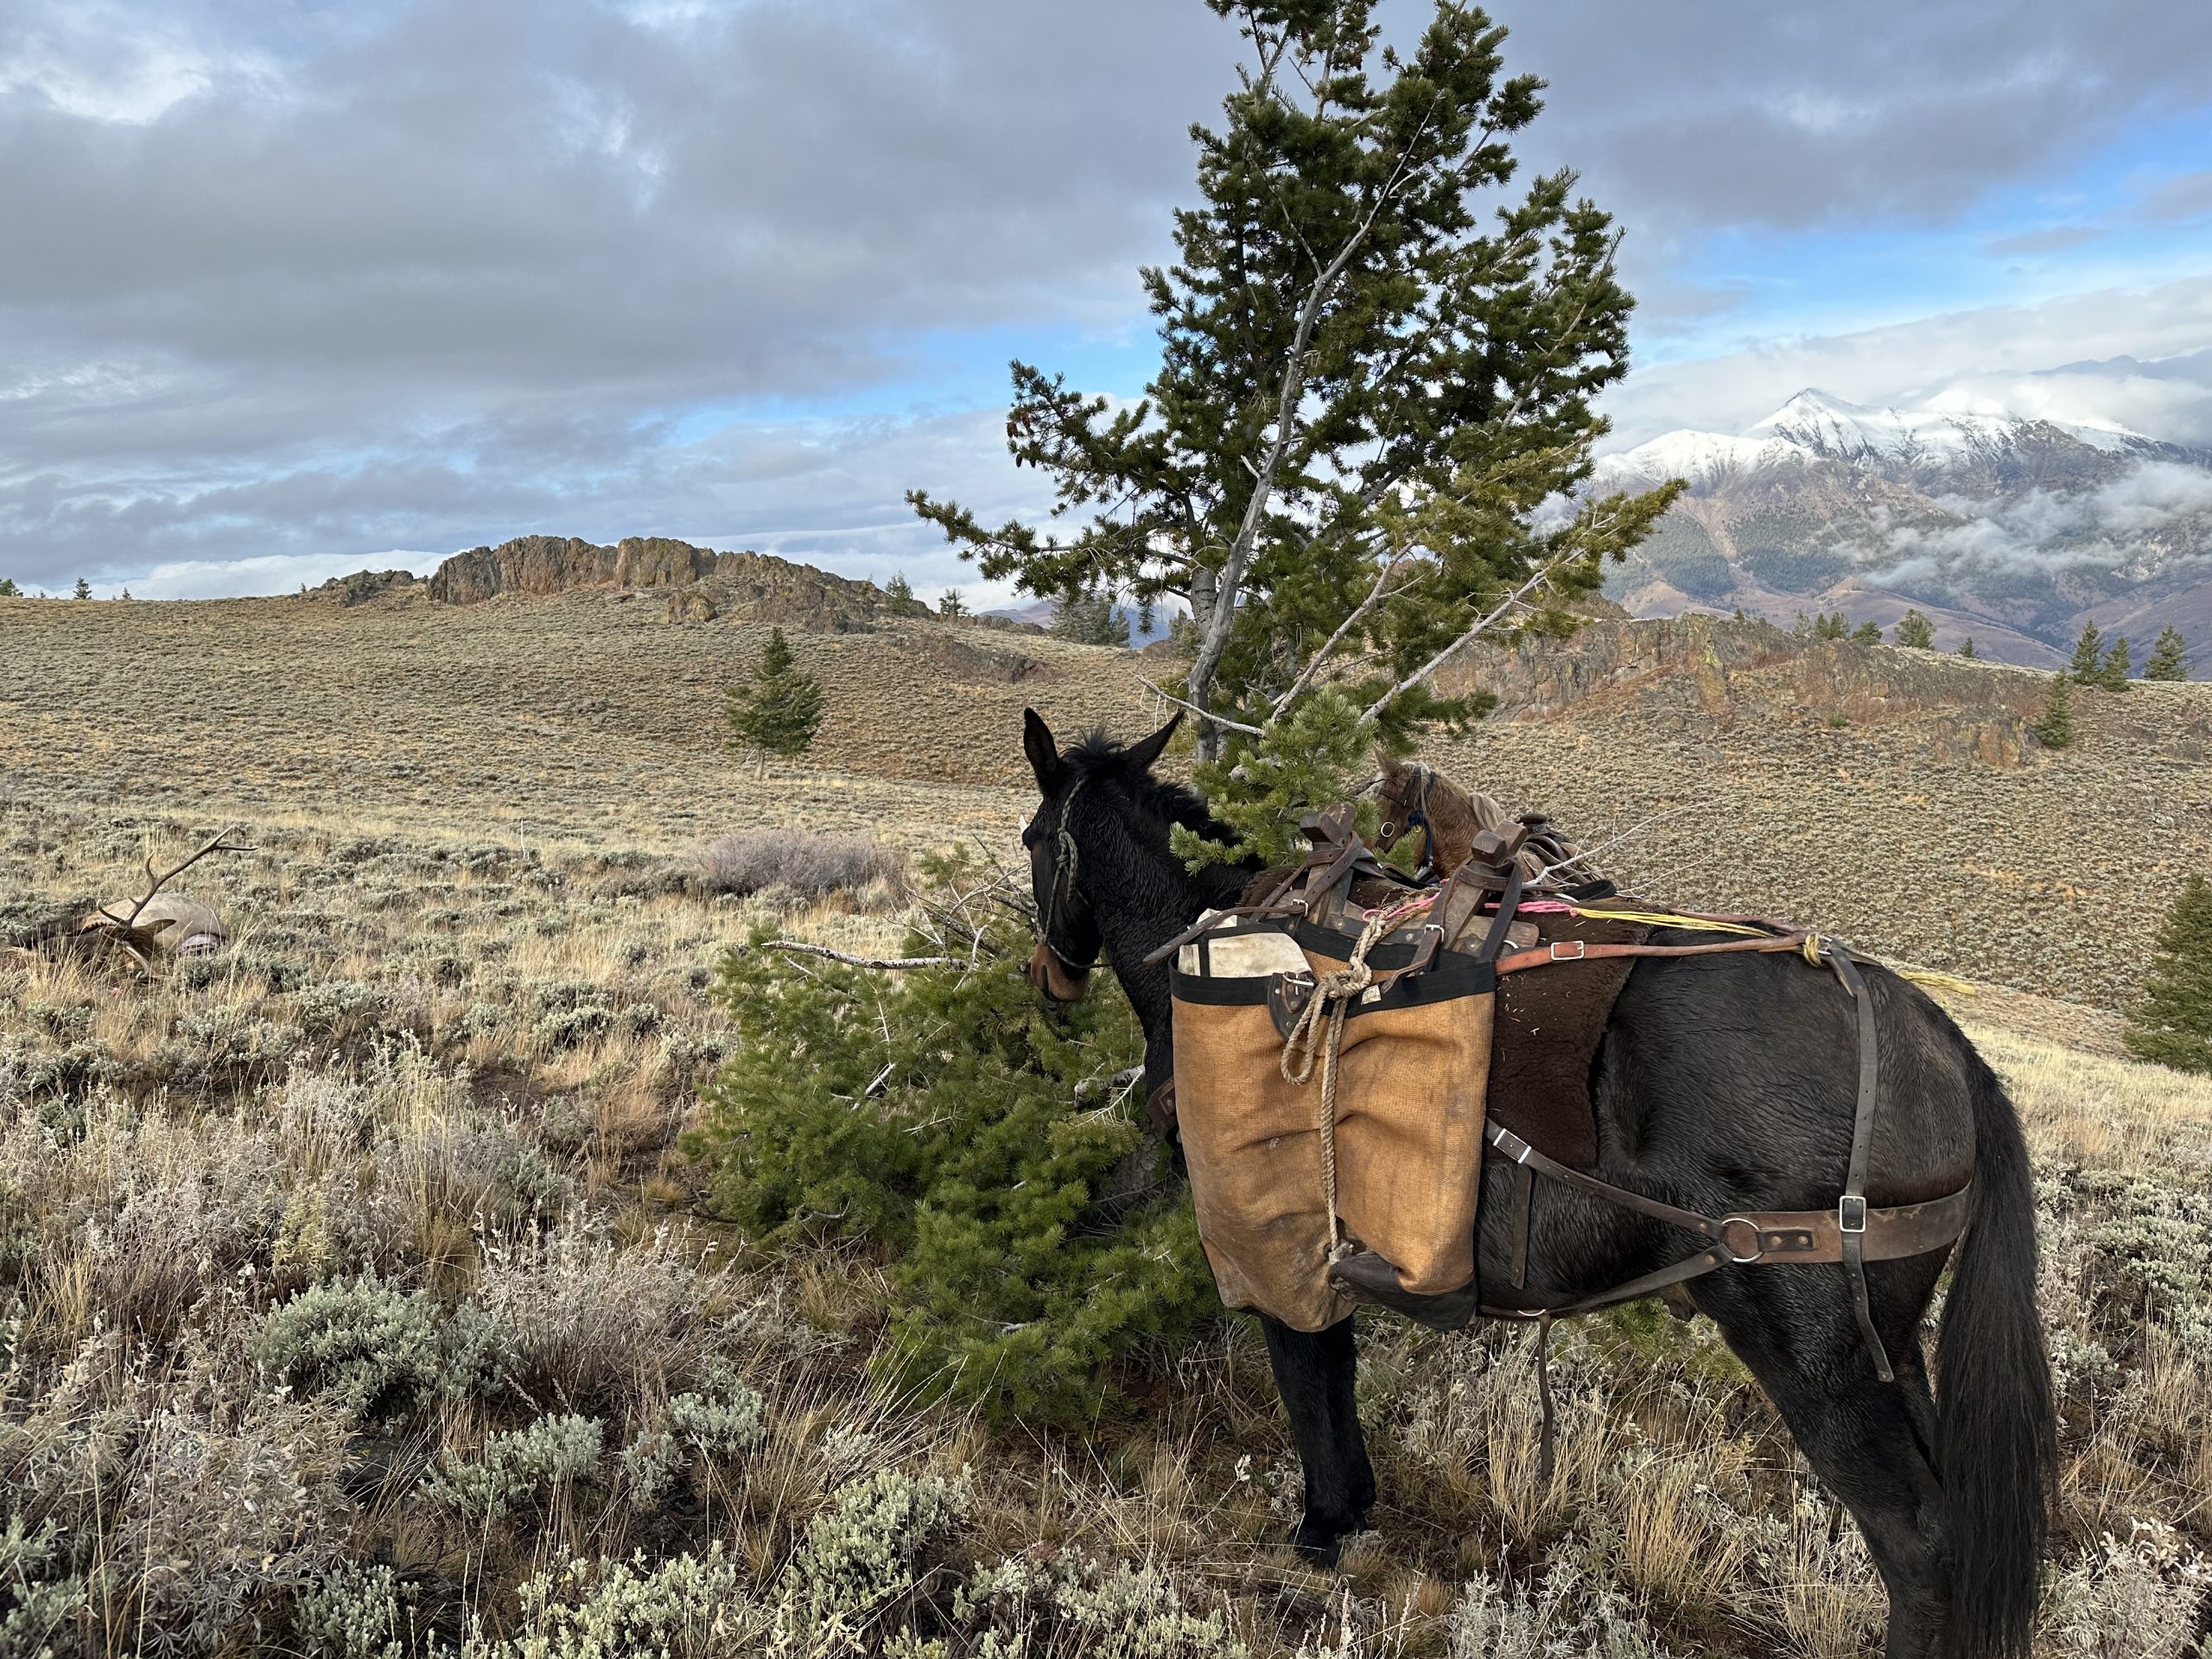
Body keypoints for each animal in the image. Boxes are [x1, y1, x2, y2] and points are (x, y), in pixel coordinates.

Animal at [1017, 712, 2052, 1659]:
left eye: (1032, 839)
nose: (1048, 981)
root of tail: (1946, 1048)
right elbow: (1326, 1368)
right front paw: (1349, 1510)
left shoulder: (1276, 1230)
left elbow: (1306, 1374)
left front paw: (1323, 1523)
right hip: (1891, 1346)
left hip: (1811, 1350)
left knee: (1918, 1545)